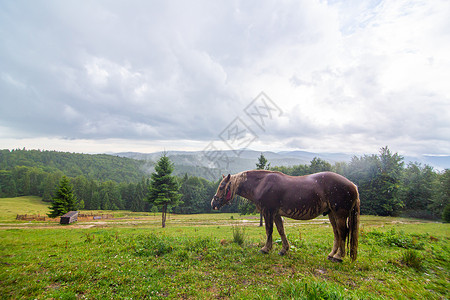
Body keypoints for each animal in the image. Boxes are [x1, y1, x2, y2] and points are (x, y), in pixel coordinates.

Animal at [211, 170, 362, 262]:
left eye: (221, 187)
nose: (213, 203)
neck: (261, 184)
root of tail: (353, 185)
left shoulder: (268, 211)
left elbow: (269, 230)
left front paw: (266, 249)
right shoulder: (276, 214)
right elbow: (281, 231)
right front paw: (284, 250)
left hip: (340, 214)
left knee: (343, 232)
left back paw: (338, 257)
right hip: (331, 214)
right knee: (337, 234)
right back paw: (331, 255)